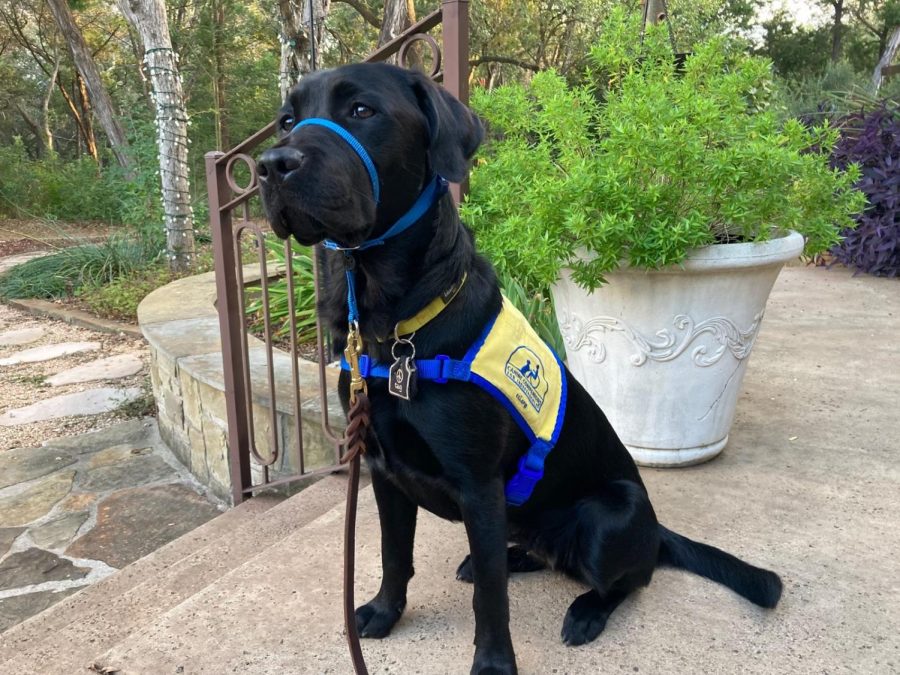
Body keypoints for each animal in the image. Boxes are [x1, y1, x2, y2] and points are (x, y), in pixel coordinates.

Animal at [258, 60, 780, 672]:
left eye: (361, 110)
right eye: (286, 119)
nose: (272, 164)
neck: (395, 329)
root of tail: (656, 530)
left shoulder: (479, 486)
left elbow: (491, 597)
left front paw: (493, 663)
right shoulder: (384, 470)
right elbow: (393, 555)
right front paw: (385, 614)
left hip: (611, 514)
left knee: (630, 578)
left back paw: (587, 610)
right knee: (541, 553)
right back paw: (520, 557)